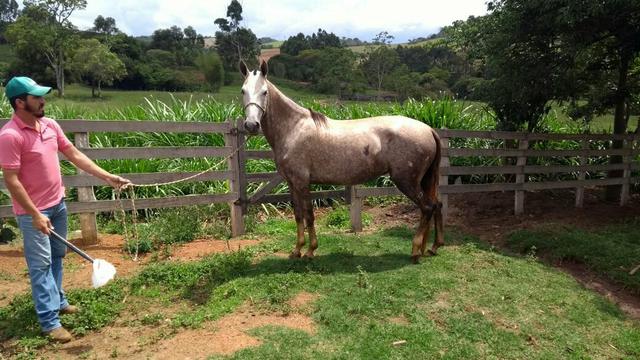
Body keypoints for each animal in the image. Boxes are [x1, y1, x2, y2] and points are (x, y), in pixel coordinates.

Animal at [240, 58, 444, 262]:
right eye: (243, 90)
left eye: (264, 92)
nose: (251, 125)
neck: (294, 128)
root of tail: (428, 129)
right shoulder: (292, 183)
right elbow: (298, 215)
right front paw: (296, 250)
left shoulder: (303, 182)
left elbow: (309, 215)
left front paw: (310, 250)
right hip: (423, 180)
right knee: (437, 205)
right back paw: (432, 247)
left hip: (407, 181)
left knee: (427, 207)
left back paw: (416, 250)